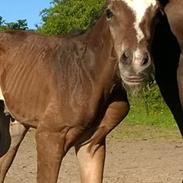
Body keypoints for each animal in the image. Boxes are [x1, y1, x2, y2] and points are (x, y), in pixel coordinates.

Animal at [0, 0, 160, 183]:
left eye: (158, 13)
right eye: (109, 12)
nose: (136, 62)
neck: (87, 73)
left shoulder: (92, 143)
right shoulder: (49, 136)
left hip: (14, 127)